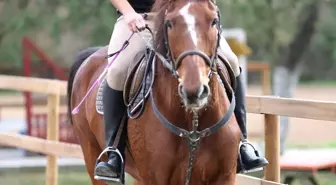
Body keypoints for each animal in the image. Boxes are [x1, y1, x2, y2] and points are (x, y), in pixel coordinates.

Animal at [68, 0, 240, 185]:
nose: (194, 91)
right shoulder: (153, 178)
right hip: (91, 153)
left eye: (214, 21)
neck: (193, 126)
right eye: (169, 23)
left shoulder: (225, 177)